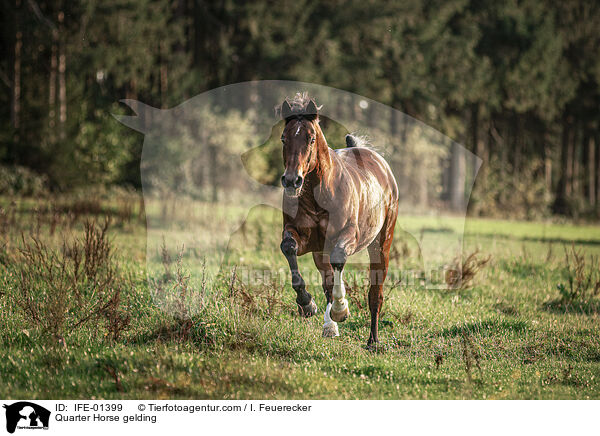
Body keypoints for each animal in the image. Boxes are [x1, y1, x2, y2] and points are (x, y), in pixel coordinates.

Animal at [278, 93, 398, 346]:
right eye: (284, 138)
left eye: (311, 139)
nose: (292, 181)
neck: (319, 196)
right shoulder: (306, 240)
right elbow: (289, 248)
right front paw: (307, 304)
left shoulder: (348, 236)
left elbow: (339, 259)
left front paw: (341, 310)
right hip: (319, 251)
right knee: (326, 281)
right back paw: (329, 326)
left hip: (381, 243)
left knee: (375, 294)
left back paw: (373, 342)